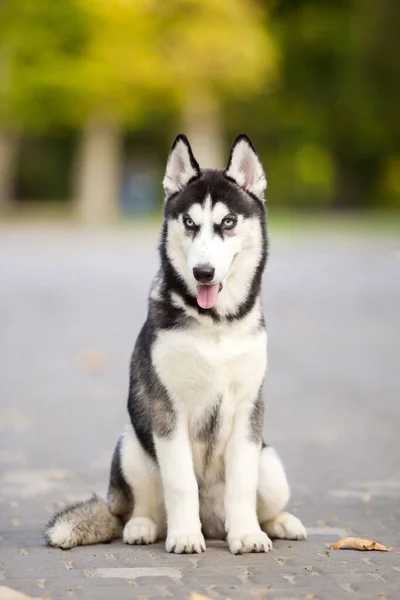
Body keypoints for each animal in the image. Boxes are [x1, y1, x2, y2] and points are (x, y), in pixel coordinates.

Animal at [43, 134, 306, 556]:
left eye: (228, 222)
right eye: (189, 223)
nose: (203, 273)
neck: (216, 324)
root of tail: (213, 523)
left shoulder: (248, 409)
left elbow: (242, 485)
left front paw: (247, 534)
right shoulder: (168, 409)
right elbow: (181, 482)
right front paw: (184, 536)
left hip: (271, 465)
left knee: (262, 497)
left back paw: (279, 522)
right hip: (131, 445)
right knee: (138, 509)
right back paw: (144, 527)